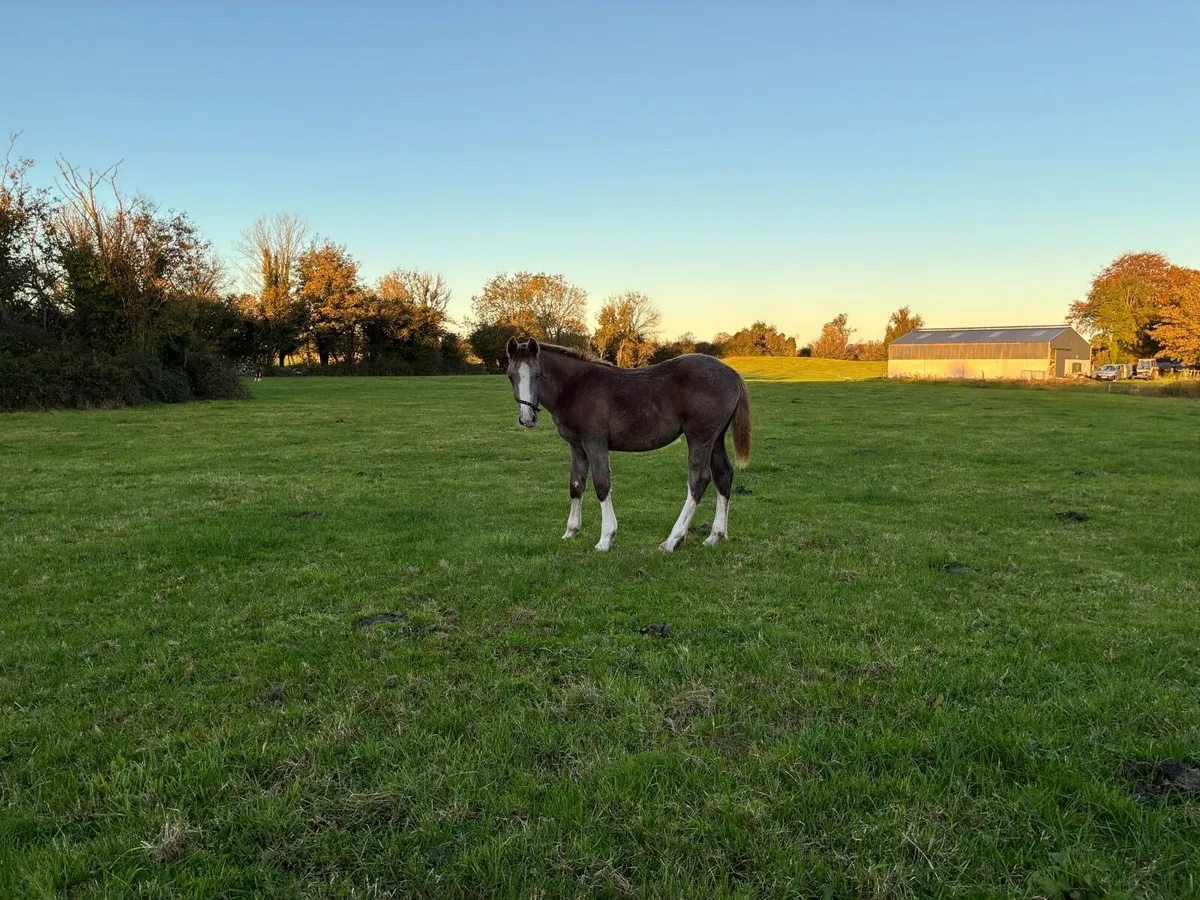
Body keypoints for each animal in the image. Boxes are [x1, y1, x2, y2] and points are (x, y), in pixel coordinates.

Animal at [504, 336, 751, 552]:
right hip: (716, 438)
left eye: (538, 375)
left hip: (700, 437)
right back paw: (715, 536)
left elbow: (602, 484)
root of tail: (731, 373)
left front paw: (606, 538)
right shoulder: (576, 446)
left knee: (698, 480)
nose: (527, 418)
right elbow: (576, 485)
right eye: (510, 376)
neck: (576, 387)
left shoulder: (595, 442)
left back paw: (672, 540)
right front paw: (571, 531)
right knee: (723, 475)